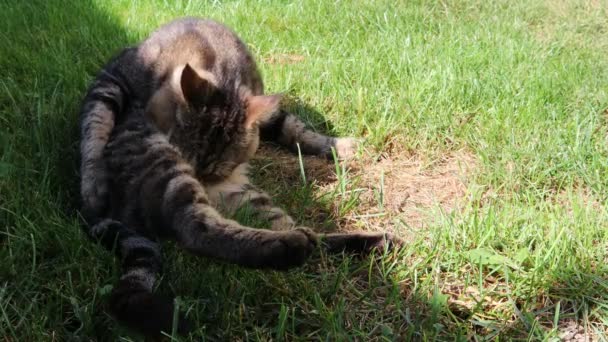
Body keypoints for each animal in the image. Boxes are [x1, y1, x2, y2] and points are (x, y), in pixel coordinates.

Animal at [81, 17, 404, 336]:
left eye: (216, 169)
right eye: (190, 156)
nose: (204, 180)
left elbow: (295, 128)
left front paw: (337, 146)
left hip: (248, 199)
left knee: (306, 235)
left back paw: (372, 242)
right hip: (168, 174)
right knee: (194, 227)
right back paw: (290, 248)